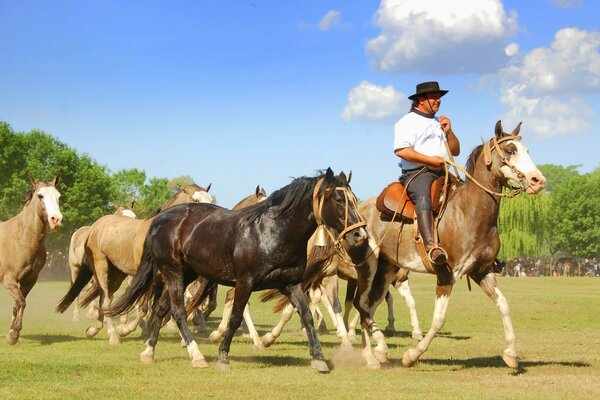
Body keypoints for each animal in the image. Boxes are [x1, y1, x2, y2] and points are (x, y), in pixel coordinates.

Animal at [0, 177, 62, 346]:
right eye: (40, 196)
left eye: (58, 196)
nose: (56, 219)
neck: (22, 239)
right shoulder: (9, 280)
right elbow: (21, 302)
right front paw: (14, 334)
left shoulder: (29, 280)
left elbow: (19, 304)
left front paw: (11, 334)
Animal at [54, 184, 213, 344]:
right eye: (196, 200)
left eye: (210, 199)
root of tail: (94, 227)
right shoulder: (145, 279)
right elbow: (142, 308)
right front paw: (126, 329)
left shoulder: (161, 280)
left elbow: (155, 307)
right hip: (99, 268)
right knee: (105, 299)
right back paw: (113, 335)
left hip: (116, 275)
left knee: (104, 299)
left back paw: (93, 330)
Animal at [108, 168, 370, 372]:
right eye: (339, 200)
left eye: (354, 198)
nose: (360, 235)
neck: (272, 231)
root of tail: (160, 219)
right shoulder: (245, 282)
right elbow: (234, 317)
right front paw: (223, 356)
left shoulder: (290, 283)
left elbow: (306, 315)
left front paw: (318, 358)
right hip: (173, 273)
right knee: (178, 311)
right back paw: (196, 355)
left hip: (187, 273)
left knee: (162, 308)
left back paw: (148, 352)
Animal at [354, 121, 548, 368]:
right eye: (510, 150)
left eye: (526, 150)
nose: (538, 180)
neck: (469, 212)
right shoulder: (447, 274)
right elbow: (439, 320)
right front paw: (412, 355)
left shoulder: (482, 270)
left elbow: (503, 305)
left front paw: (511, 354)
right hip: (368, 266)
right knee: (362, 304)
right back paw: (372, 352)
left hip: (387, 268)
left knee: (369, 305)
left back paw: (374, 352)